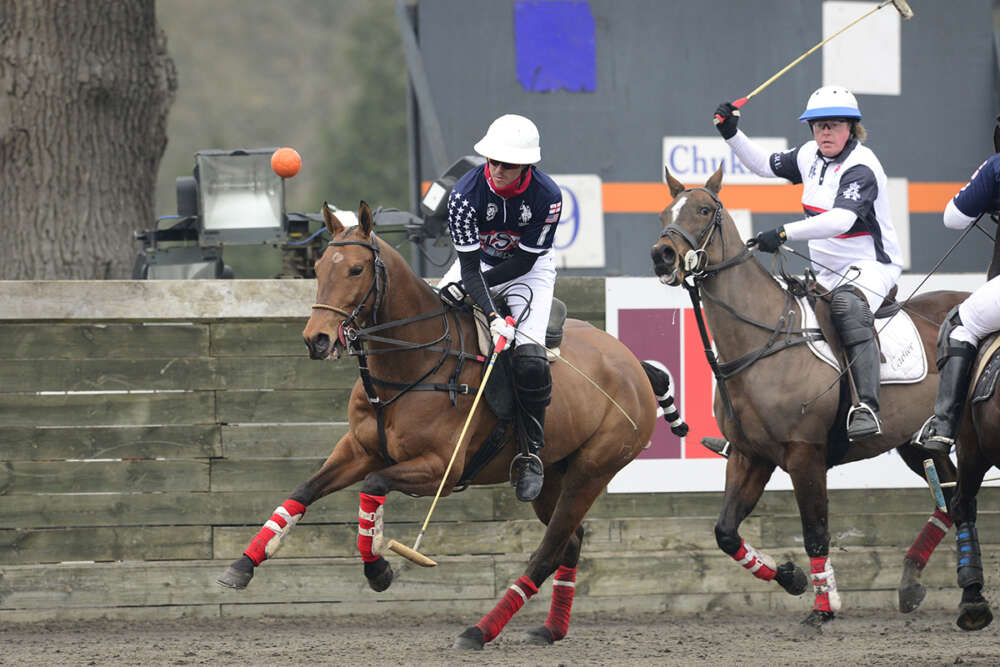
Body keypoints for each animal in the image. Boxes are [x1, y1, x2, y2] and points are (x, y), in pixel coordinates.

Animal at [215, 202, 660, 648]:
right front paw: (242, 565)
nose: (317, 340)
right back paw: (549, 628)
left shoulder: (440, 470)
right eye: (320, 267)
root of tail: (634, 363)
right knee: (570, 542)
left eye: (356, 270)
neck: (412, 364)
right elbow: (303, 491)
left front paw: (379, 569)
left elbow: (374, 485)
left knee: (549, 548)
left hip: (592, 470)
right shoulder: (359, 449)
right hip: (554, 474)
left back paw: (479, 630)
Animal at [652, 167, 964, 628]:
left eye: (705, 209)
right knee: (951, 499)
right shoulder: (749, 455)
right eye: (664, 213)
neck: (763, 341)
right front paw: (791, 577)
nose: (663, 256)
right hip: (919, 442)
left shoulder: (805, 454)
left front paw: (824, 606)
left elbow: (815, 532)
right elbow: (725, 532)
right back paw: (912, 585)